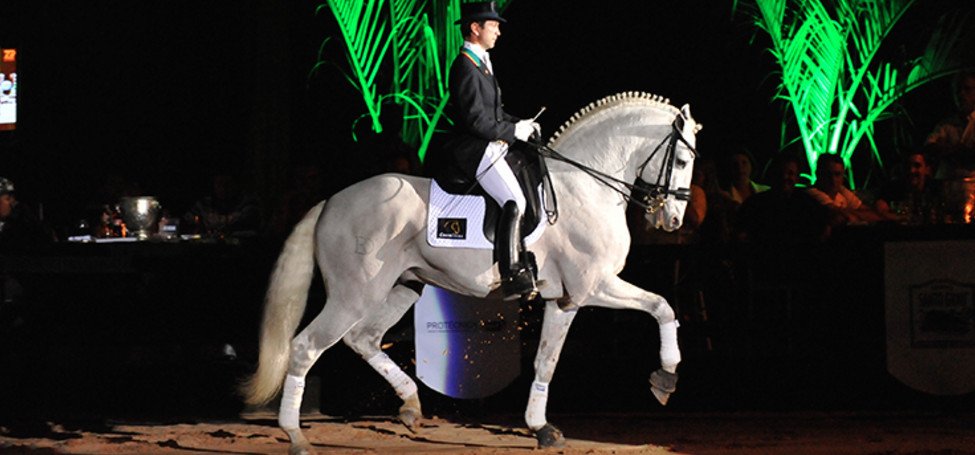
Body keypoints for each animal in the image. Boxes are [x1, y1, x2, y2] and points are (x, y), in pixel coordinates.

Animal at [244, 91, 700, 454]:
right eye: (680, 160)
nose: (674, 220)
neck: (584, 187)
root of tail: (330, 202)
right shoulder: (595, 286)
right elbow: (662, 306)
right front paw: (665, 378)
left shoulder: (564, 299)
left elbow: (546, 362)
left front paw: (541, 428)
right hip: (353, 295)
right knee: (306, 347)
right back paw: (296, 437)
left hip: (401, 288)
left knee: (364, 339)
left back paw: (411, 406)